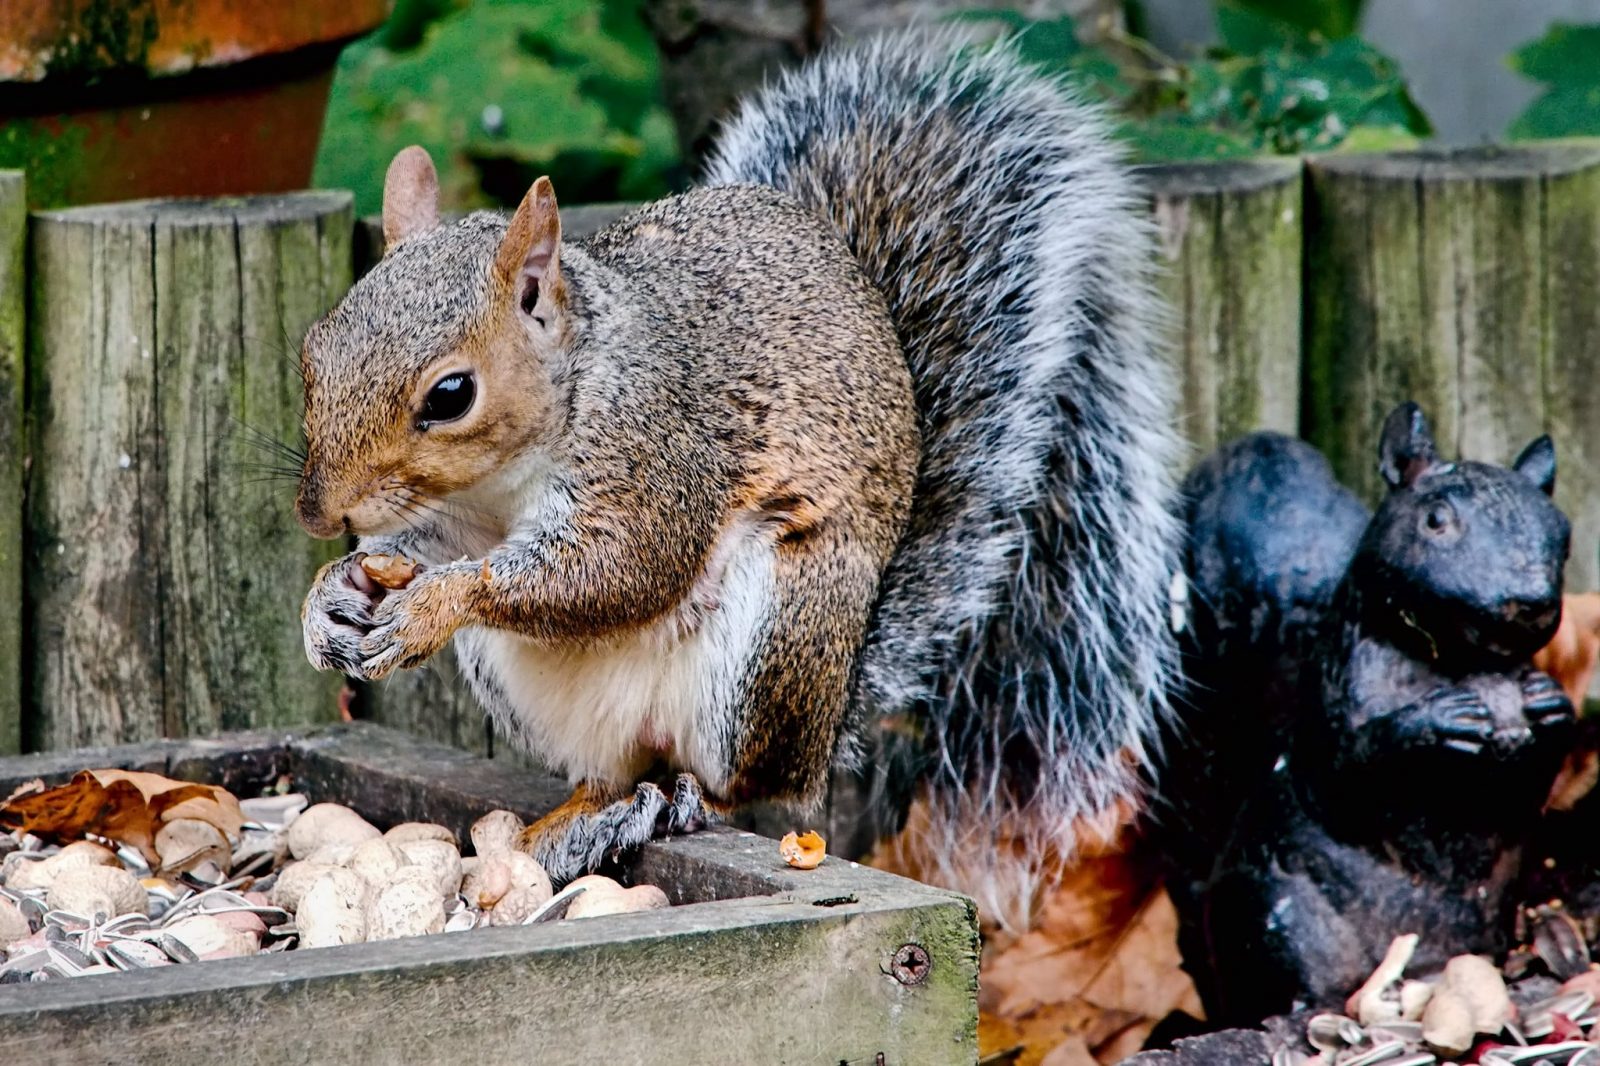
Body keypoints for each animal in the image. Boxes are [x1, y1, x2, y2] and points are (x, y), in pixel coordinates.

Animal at [294, 27, 1184, 921]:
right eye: (313, 347)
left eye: (451, 395)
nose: (318, 514)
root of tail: (831, 724)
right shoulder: (454, 517)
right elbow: (425, 549)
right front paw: (330, 600)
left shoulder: (660, 450)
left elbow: (618, 569)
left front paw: (434, 604)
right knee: (616, 772)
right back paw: (579, 820)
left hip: (771, 643)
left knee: (746, 784)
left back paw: (691, 798)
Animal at [1171, 403, 1568, 1017]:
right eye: (1435, 519)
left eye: (1562, 534)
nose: (1528, 601)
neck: (1463, 663)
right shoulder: (1331, 706)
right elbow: (1351, 769)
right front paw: (1438, 720)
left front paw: (1548, 702)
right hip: (1274, 915)